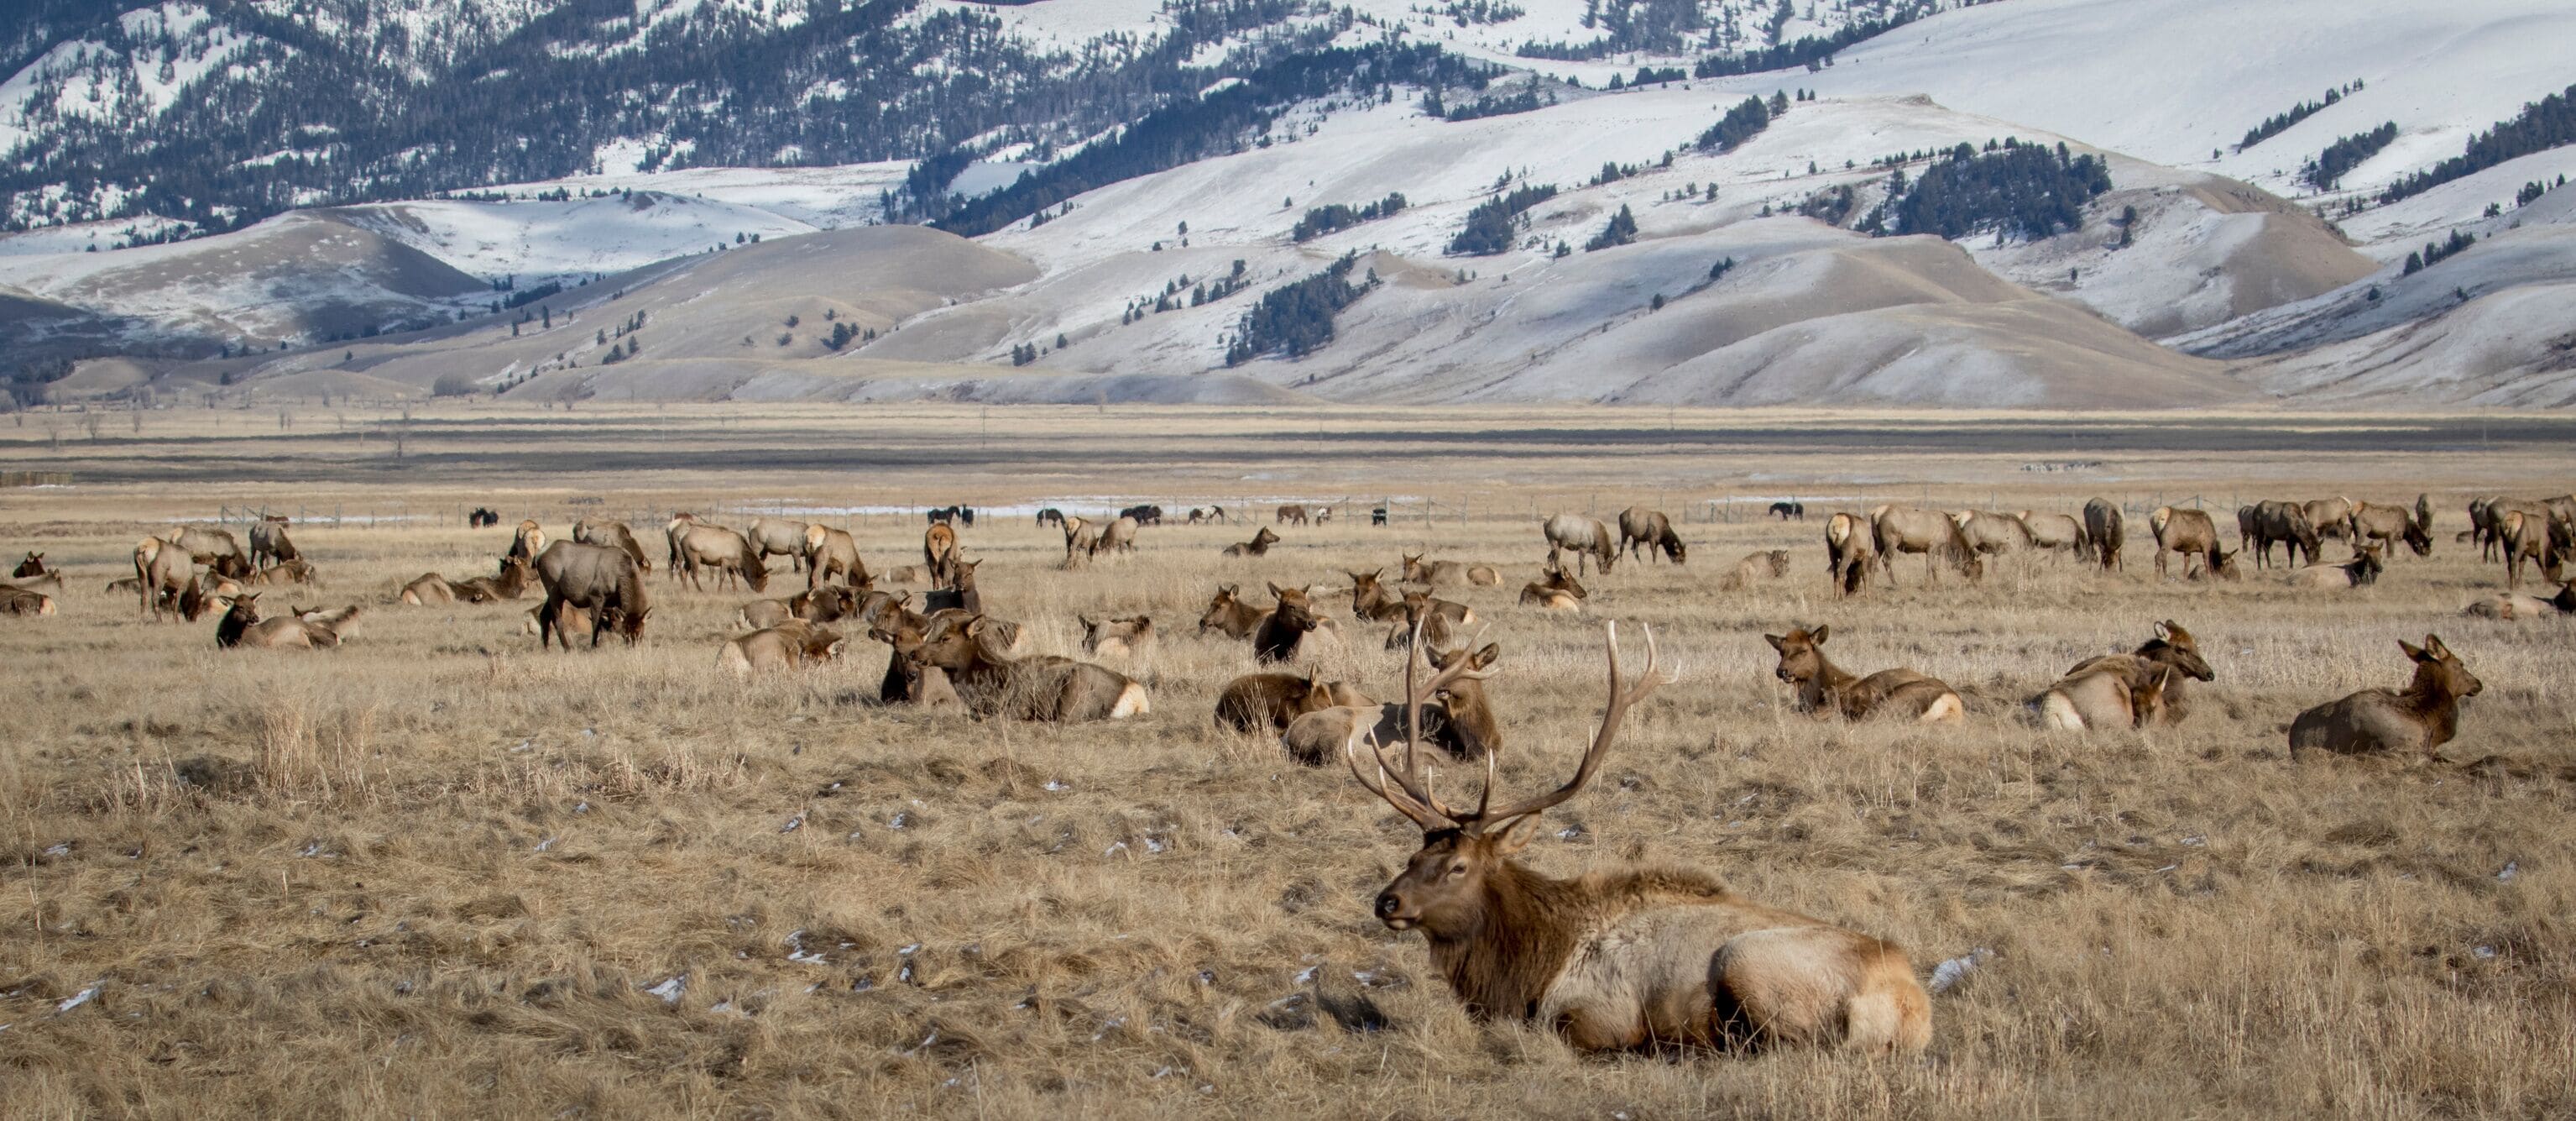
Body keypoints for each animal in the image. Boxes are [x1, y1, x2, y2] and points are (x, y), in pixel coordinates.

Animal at [1347, 621, 1930, 1054]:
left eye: (1459, 867)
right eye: (1413, 854)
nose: (1386, 901)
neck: (1530, 965)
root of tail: (1914, 1009)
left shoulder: (1594, 1012)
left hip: (1748, 962)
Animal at [1765, 625, 1963, 723]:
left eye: (1803, 650)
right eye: (1781, 651)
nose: (1782, 671)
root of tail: (1952, 703)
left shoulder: (1832, 706)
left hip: (1891, 703)